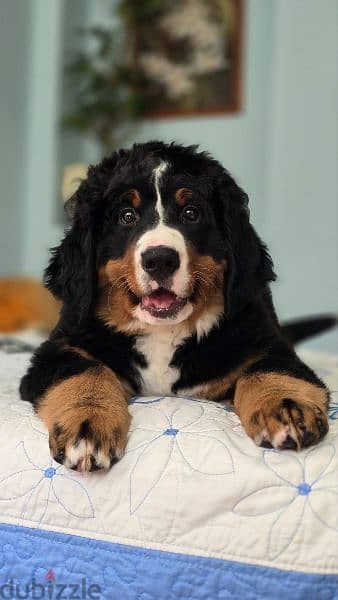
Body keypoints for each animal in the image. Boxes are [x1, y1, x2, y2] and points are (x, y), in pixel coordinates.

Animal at [19, 143, 334, 472]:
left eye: (191, 213)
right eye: (127, 216)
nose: (160, 259)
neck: (162, 333)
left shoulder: (265, 339)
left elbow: (269, 369)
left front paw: (287, 407)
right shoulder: (60, 346)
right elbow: (84, 370)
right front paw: (88, 422)